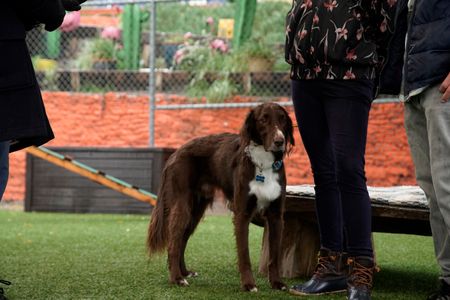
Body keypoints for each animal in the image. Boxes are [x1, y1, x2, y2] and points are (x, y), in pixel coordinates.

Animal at [148, 102, 296, 292]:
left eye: (282, 119)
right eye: (263, 120)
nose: (280, 141)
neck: (264, 164)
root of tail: (176, 152)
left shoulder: (276, 215)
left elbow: (274, 256)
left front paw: (277, 283)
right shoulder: (242, 214)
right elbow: (244, 254)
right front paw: (248, 284)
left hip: (195, 210)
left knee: (181, 239)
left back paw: (185, 272)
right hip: (182, 206)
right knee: (174, 242)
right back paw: (177, 278)